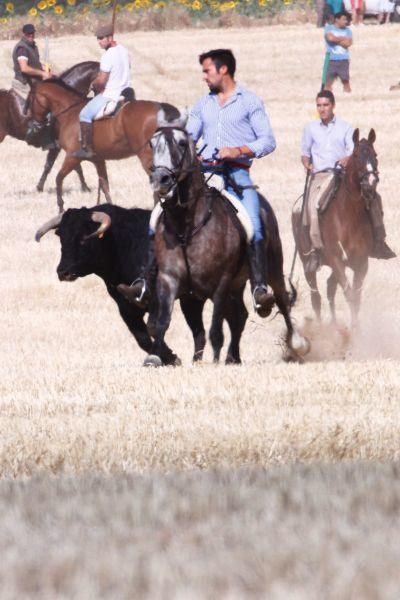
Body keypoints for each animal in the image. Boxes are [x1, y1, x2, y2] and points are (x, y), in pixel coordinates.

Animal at [27, 78, 179, 212]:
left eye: (30, 99)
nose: (33, 123)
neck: (70, 112)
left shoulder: (72, 157)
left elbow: (59, 179)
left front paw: (61, 207)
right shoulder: (98, 160)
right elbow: (105, 186)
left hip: (147, 158)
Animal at [139, 112, 310, 366]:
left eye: (181, 143)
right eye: (152, 143)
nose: (161, 179)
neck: (187, 225)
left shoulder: (221, 282)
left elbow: (215, 329)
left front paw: (214, 361)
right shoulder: (170, 279)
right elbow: (162, 322)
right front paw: (155, 357)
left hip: (271, 270)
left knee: (281, 301)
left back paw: (296, 345)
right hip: (235, 286)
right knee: (239, 316)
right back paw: (233, 357)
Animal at [290, 127, 378, 328]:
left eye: (375, 155)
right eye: (356, 156)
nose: (370, 184)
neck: (349, 215)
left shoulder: (360, 263)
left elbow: (356, 297)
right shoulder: (337, 259)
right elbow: (349, 294)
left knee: (330, 288)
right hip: (308, 264)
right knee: (316, 297)